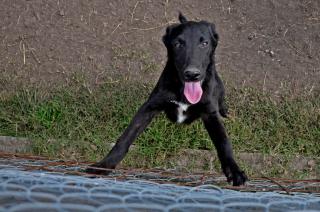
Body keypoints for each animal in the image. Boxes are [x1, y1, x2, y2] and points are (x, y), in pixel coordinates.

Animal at [87, 13, 248, 186]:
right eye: (178, 44)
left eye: (204, 43)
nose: (192, 74)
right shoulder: (150, 106)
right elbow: (126, 136)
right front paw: (104, 165)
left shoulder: (210, 113)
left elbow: (224, 142)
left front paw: (235, 171)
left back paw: (225, 111)